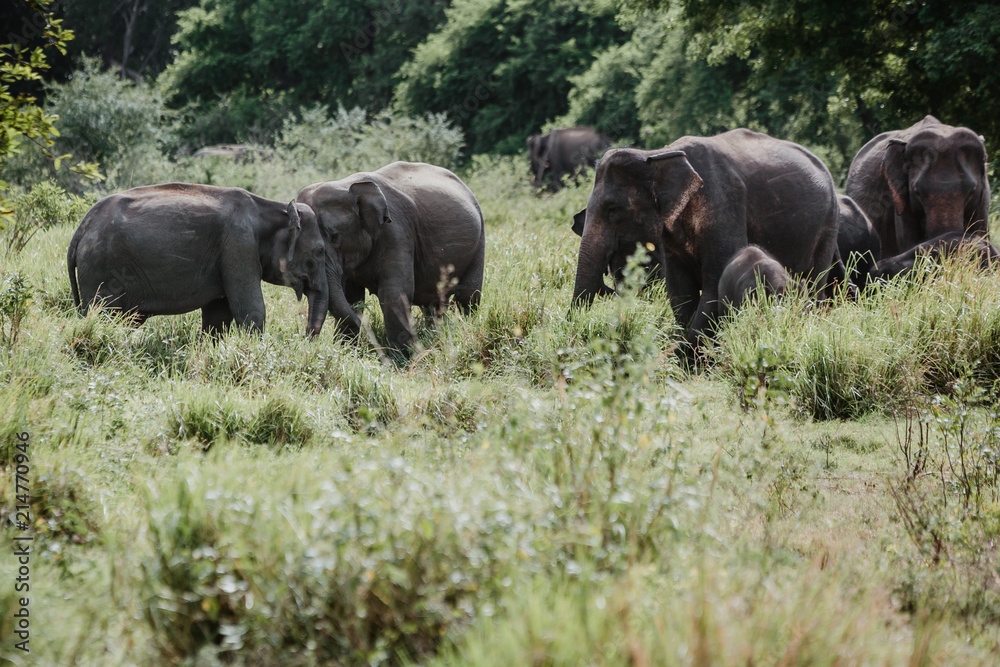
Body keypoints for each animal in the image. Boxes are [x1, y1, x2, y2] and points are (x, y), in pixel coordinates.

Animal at [67, 183, 332, 336]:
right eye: (320, 251)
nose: (305, 338)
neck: (270, 206)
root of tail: (81, 228)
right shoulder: (239, 244)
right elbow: (251, 311)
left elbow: (218, 316)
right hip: (99, 270)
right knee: (103, 316)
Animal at [294, 161, 486, 354]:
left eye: (335, 237)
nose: (307, 342)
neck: (346, 186)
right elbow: (351, 295)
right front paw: (346, 350)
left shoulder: (396, 232)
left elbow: (394, 292)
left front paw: (401, 358)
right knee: (434, 304)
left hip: (479, 241)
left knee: (467, 297)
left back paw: (464, 329)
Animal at [572, 128, 844, 352]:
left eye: (613, 209)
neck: (656, 154)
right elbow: (680, 289)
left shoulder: (722, 204)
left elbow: (714, 283)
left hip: (828, 224)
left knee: (815, 282)